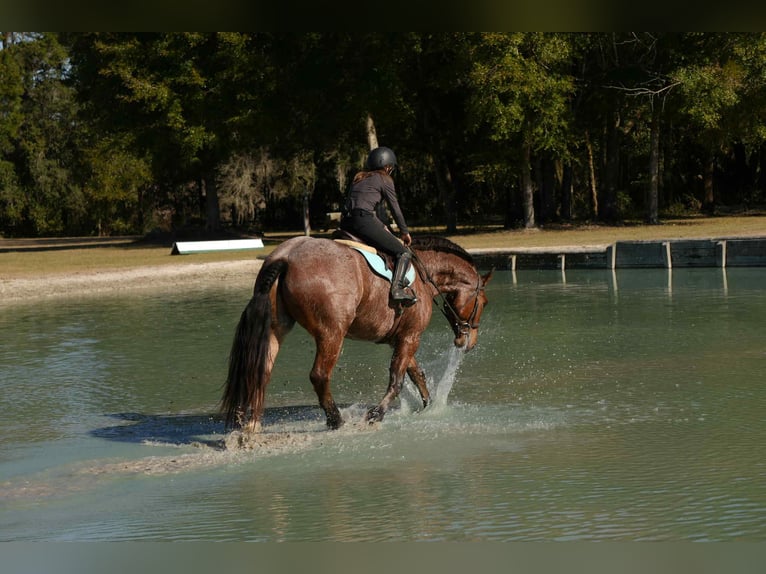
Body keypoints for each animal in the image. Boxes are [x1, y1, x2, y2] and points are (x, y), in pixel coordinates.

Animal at [221, 235, 493, 432]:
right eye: (484, 302)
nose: (469, 343)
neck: (424, 276)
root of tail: (286, 256)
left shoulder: (401, 337)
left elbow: (416, 374)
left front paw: (428, 405)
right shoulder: (410, 337)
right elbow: (397, 379)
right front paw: (376, 414)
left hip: (276, 329)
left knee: (261, 371)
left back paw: (253, 424)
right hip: (332, 334)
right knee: (319, 375)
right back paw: (335, 420)